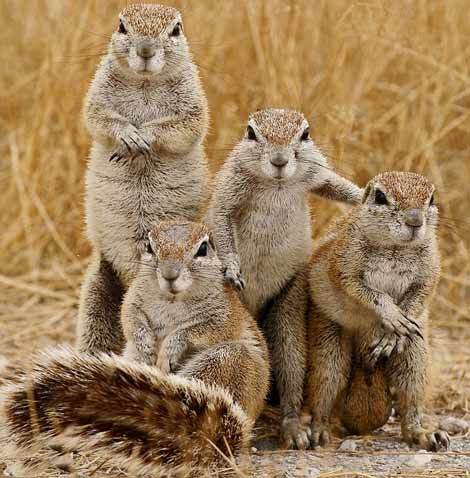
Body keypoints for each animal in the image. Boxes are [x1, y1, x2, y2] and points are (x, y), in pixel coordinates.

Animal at [0, 222, 268, 476]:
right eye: (149, 246)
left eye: (203, 249)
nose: (170, 274)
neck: (172, 300)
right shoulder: (133, 300)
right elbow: (130, 319)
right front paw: (145, 344)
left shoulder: (225, 316)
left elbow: (197, 330)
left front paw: (170, 347)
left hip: (227, 360)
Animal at [76, 2, 207, 354]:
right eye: (122, 26)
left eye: (176, 29)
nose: (146, 50)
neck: (145, 83)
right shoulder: (97, 94)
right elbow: (98, 118)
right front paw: (127, 135)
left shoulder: (193, 102)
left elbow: (185, 125)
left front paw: (145, 135)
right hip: (97, 290)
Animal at [207, 108, 364, 448]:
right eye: (251, 133)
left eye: (304, 134)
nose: (279, 160)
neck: (276, 184)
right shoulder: (231, 184)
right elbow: (222, 219)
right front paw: (232, 268)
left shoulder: (315, 171)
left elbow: (335, 184)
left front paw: (367, 194)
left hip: (289, 304)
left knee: (290, 365)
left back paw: (293, 426)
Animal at [306, 172, 450, 452]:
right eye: (380, 197)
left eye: (431, 198)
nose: (415, 220)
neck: (395, 247)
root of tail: (365, 364)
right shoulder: (343, 264)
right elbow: (364, 290)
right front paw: (392, 315)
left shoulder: (430, 270)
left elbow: (420, 295)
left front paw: (393, 335)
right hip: (328, 346)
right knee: (325, 389)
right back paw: (319, 431)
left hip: (415, 356)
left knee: (410, 397)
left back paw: (424, 434)